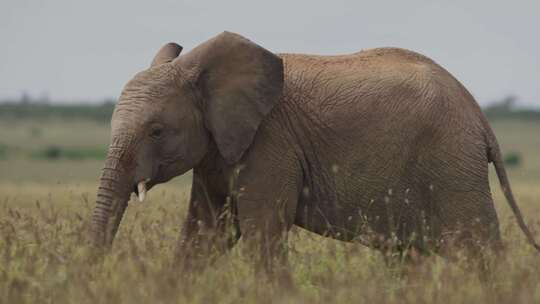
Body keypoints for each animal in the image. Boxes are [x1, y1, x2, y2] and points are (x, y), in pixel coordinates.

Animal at [89, 31, 540, 280]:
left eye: (156, 131)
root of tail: (479, 114)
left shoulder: (270, 145)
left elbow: (261, 237)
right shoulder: (217, 151)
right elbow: (204, 236)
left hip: (451, 163)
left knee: (478, 246)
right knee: (409, 255)